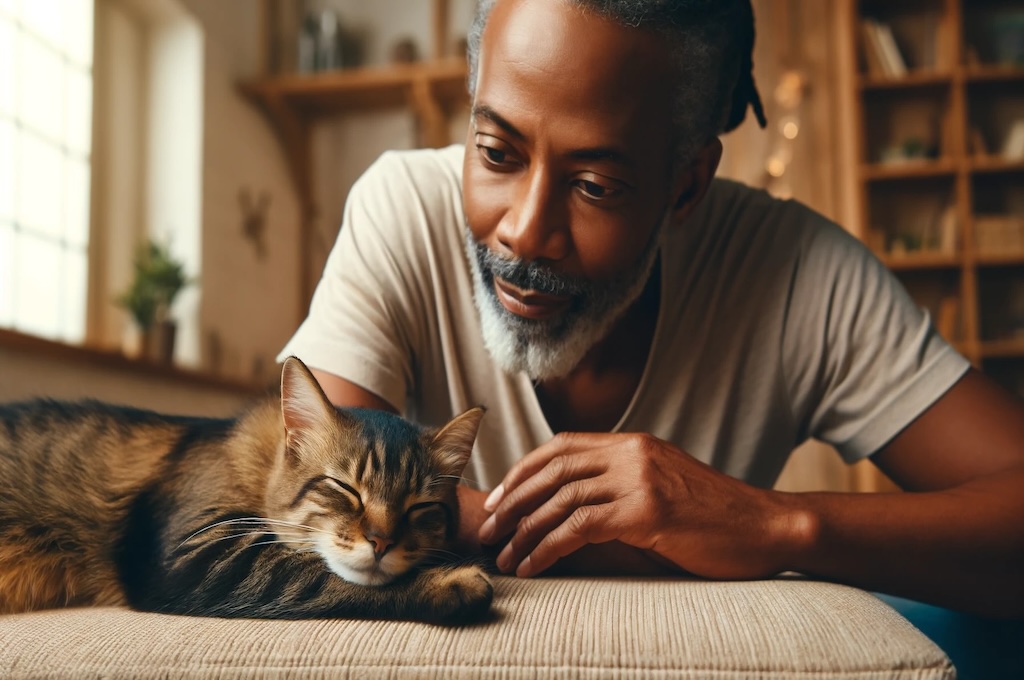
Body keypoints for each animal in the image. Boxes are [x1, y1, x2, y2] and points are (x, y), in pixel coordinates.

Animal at [0, 356, 491, 626]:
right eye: (344, 488)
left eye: (420, 507)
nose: (382, 541)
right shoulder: (194, 555)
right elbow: (315, 574)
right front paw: (453, 582)